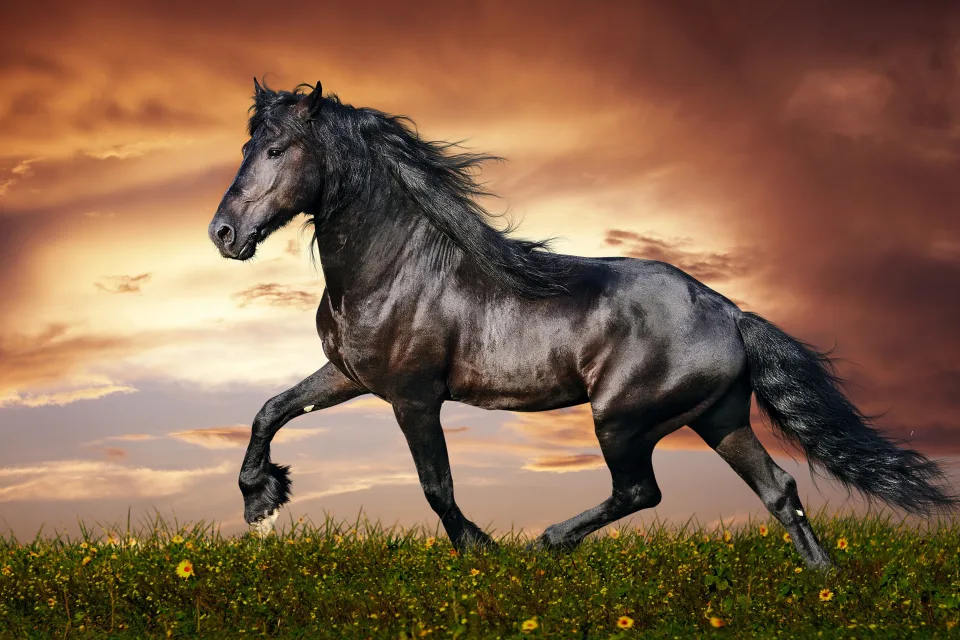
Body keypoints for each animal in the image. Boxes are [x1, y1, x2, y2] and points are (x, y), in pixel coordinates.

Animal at [207, 79, 956, 567]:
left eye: (277, 151)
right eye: (248, 147)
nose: (223, 233)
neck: (394, 267)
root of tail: (731, 313)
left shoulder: (413, 396)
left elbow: (436, 485)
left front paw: (482, 550)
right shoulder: (350, 375)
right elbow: (270, 410)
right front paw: (260, 500)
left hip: (622, 418)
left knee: (641, 490)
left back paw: (549, 541)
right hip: (720, 418)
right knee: (780, 490)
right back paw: (822, 581)